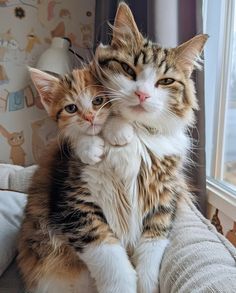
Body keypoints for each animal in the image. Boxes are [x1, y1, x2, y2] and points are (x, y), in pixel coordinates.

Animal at [92, 2, 208, 292]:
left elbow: (150, 250)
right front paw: (119, 131)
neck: (140, 136)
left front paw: (145, 284)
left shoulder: (165, 197)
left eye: (166, 81)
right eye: (127, 69)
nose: (142, 94)